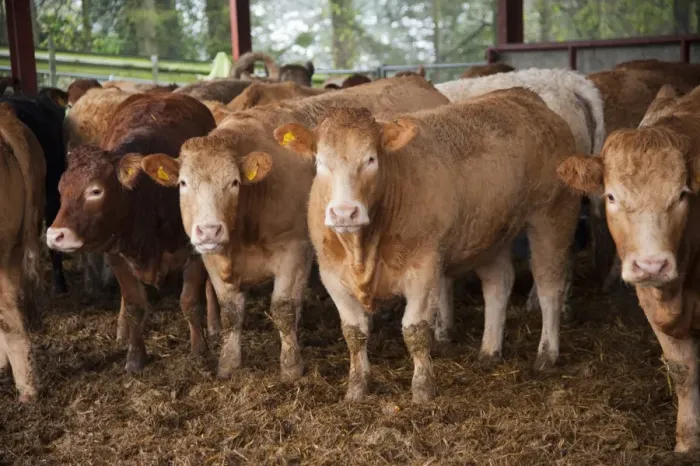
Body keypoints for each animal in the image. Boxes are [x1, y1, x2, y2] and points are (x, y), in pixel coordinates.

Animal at [46, 93, 219, 372]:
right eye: (61, 189)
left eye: (96, 190)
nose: (55, 236)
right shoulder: (117, 255)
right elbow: (134, 306)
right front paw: (135, 356)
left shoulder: (194, 251)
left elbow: (191, 301)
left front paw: (199, 350)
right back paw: (121, 330)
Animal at [127, 75, 450, 382]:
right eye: (183, 183)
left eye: (234, 182)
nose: (208, 231)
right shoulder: (211, 258)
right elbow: (231, 313)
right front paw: (228, 363)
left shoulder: (293, 250)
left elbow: (283, 309)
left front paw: (291, 366)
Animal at [275, 88, 581, 402]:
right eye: (321, 162)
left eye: (371, 159)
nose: (344, 213)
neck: (363, 248)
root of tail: (523, 95)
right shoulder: (331, 274)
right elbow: (353, 332)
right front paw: (356, 388)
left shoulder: (424, 268)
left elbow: (416, 331)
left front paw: (422, 389)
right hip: (492, 232)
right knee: (499, 284)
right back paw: (489, 350)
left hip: (553, 214)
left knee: (549, 287)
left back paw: (546, 354)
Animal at [556, 85, 700, 453]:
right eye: (611, 197)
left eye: (682, 195)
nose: (652, 264)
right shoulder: (649, 298)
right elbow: (682, 369)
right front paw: (687, 439)